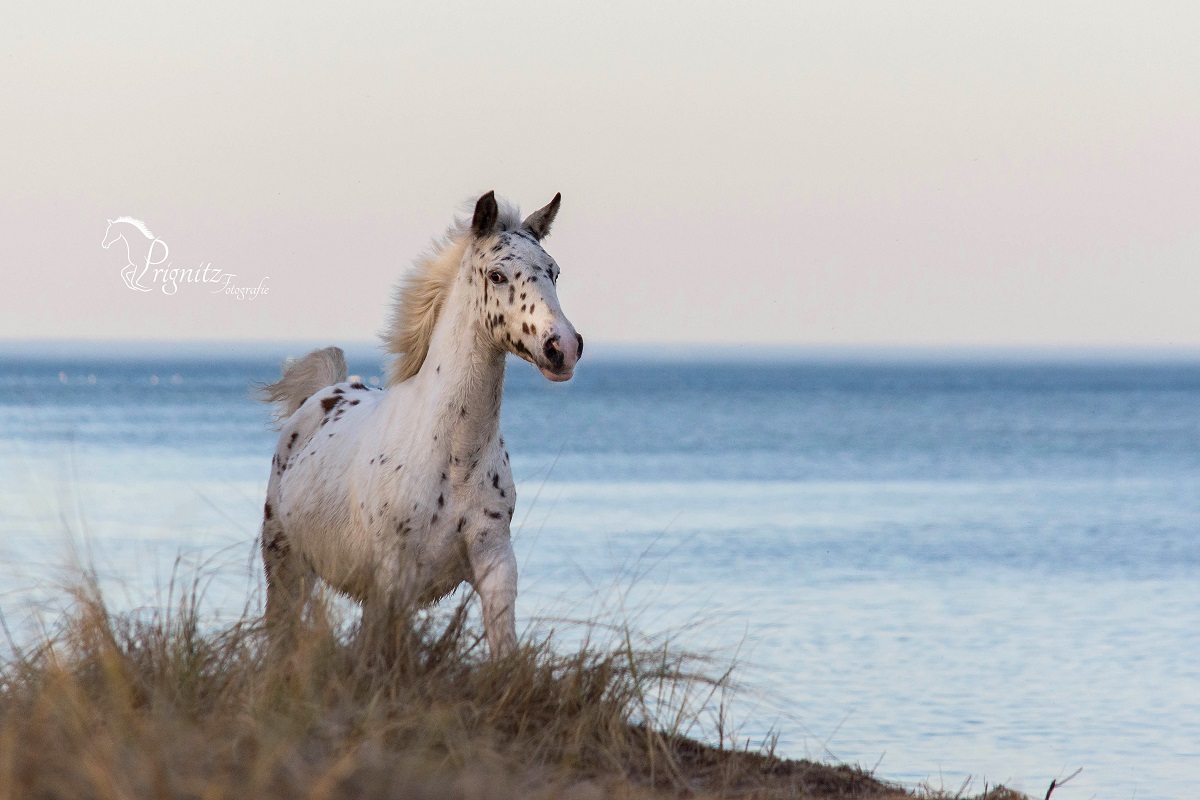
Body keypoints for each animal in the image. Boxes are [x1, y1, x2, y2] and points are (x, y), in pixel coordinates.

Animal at [260, 194, 583, 657]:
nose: (563, 348)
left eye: (554, 272)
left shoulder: (496, 566)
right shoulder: (391, 581)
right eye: (497, 275)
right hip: (286, 566)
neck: (455, 458)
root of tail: (321, 393)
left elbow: (505, 654)